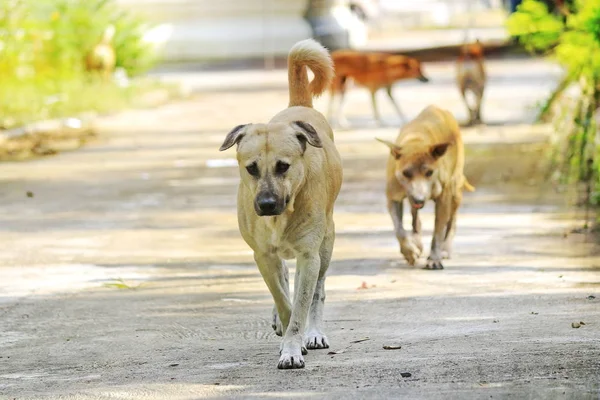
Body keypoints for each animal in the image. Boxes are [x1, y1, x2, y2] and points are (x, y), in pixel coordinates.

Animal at [378, 104, 476, 270]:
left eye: (429, 172)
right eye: (406, 173)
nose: (420, 198)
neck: (416, 140)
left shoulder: (444, 198)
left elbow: (438, 231)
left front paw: (434, 258)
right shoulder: (393, 197)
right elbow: (399, 230)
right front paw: (409, 251)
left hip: (455, 190)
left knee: (452, 221)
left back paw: (445, 248)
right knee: (414, 217)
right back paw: (416, 239)